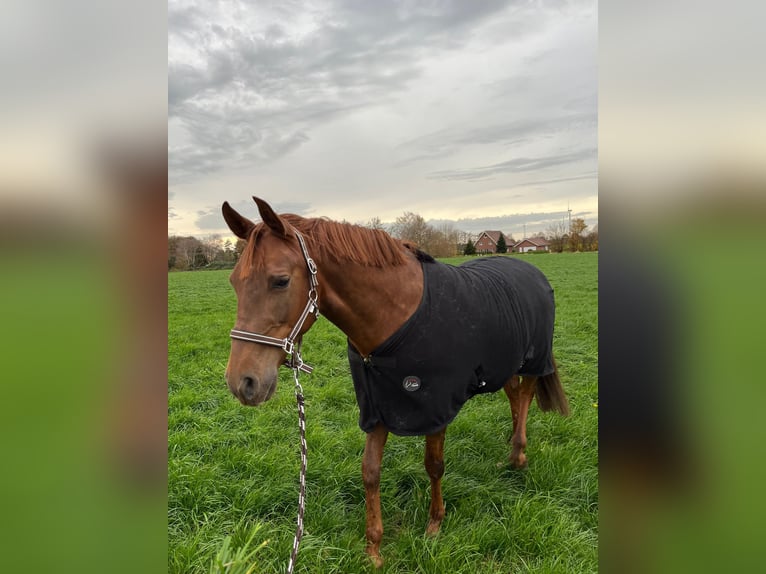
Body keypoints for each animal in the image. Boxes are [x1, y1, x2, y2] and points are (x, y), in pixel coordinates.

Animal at [222, 198, 568, 568]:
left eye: (281, 281)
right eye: (234, 282)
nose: (243, 382)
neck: (394, 318)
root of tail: (531, 270)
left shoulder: (436, 406)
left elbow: (434, 465)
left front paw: (434, 524)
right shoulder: (378, 405)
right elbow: (370, 471)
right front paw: (373, 548)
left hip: (533, 362)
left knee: (526, 395)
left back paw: (518, 454)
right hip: (504, 364)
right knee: (514, 395)